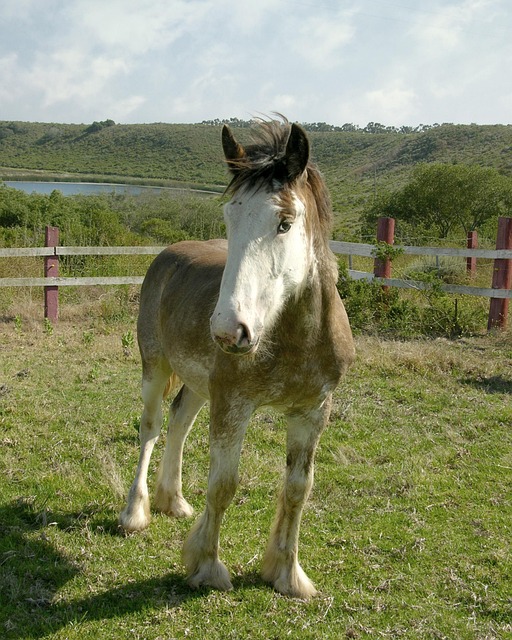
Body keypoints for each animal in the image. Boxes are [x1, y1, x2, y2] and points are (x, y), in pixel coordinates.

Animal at [119, 117, 355, 599]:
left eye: (285, 223)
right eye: (230, 216)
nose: (230, 331)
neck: (294, 337)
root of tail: (168, 253)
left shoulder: (313, 411)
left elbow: (298, 488)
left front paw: (286, 573)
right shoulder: (234, 405)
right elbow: (223, 485)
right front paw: (207, 567)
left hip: (198, 383)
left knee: (179, 422)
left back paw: (173, 500)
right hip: (156, 367)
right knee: (152, 427)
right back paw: (136, 512)